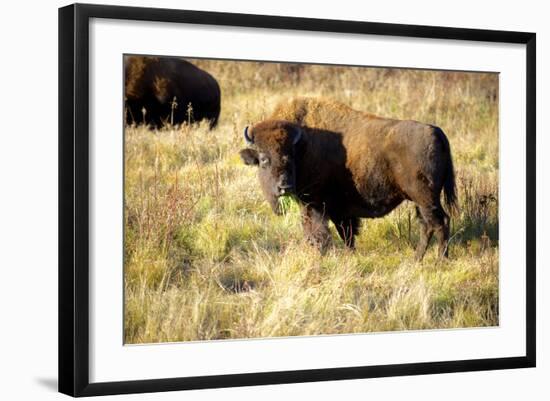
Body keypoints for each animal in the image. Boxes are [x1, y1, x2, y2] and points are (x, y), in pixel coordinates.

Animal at [239, 97, 460, 260]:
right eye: (264, 159)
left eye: (289, 156)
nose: (284, 186)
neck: (303, 146)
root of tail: (435, 131)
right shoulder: (335, 210)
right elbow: (344, 234)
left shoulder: (317, 205)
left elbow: (321, 233)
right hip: (420, 201)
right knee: (427, 225)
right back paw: (417, 259)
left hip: (425, 198)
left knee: (439, 222)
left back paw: (440, 260)